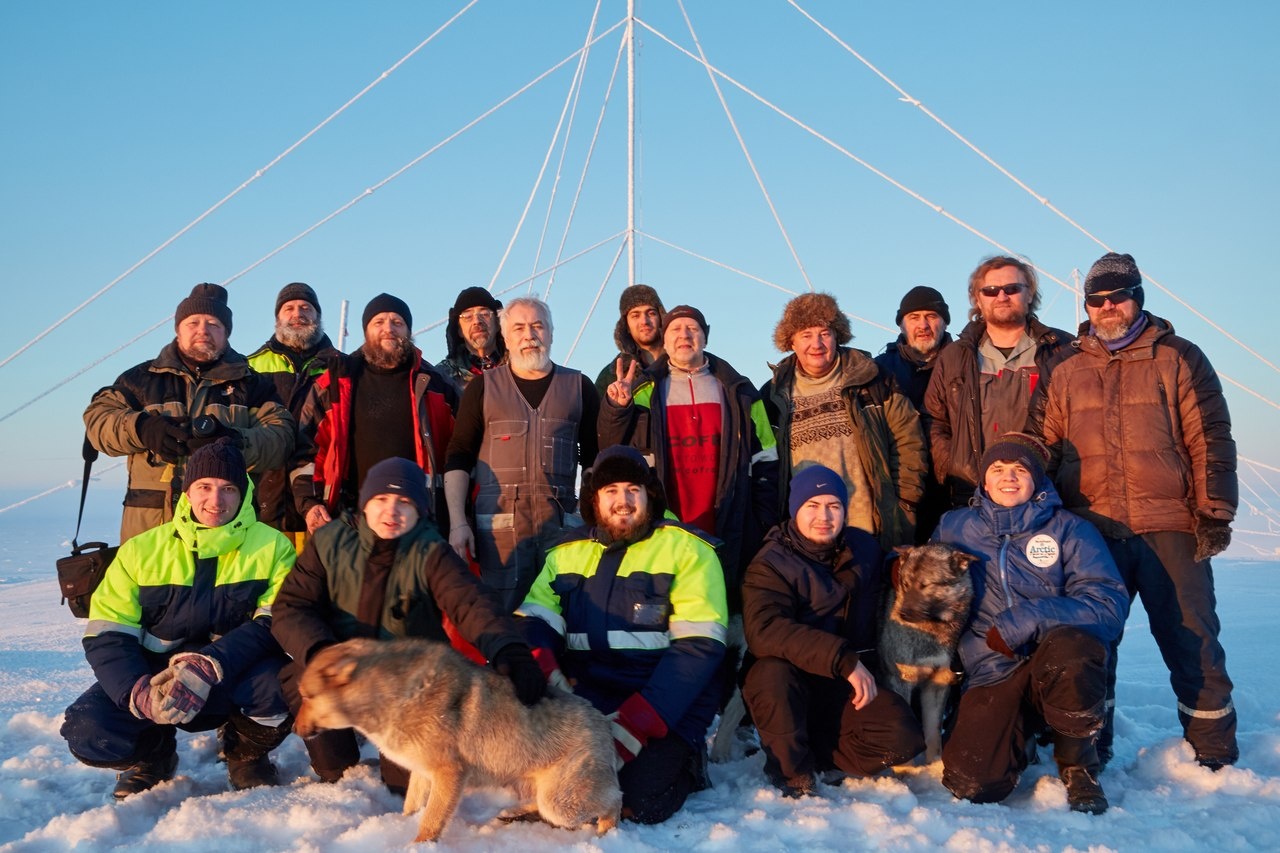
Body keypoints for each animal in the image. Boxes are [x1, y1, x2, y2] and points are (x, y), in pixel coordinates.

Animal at [295, 635, 624, 840]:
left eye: (306, 696)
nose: (295, 730)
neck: (397, 695)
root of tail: (603, 724)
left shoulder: (449, 775)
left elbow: (430, 823)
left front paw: (415, 845)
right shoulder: (421, 773)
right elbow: (411, 808)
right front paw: (399, 826)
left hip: (562, 802)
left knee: (614, 800)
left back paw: (607, 831)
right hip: (543, 792)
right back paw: (514, 812)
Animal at [885, 540, 972, 758]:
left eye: (926, 585)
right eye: (905, 584)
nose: (903, 614)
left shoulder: (938, 681)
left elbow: (933, 733)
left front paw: (934, 761)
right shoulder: (899, 680)